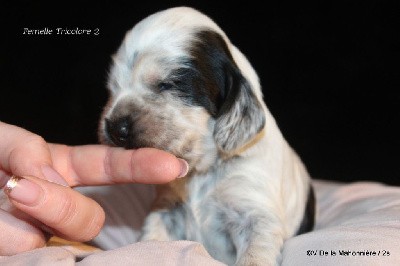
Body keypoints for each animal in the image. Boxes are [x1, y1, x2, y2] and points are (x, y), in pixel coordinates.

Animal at [98, 6, 314, 266]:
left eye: (169, 84)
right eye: (113, 88)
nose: (115, 127)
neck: (201, 171)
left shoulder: (254, 211)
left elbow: (256, 251)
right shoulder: (167, 208)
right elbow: (153, 236)